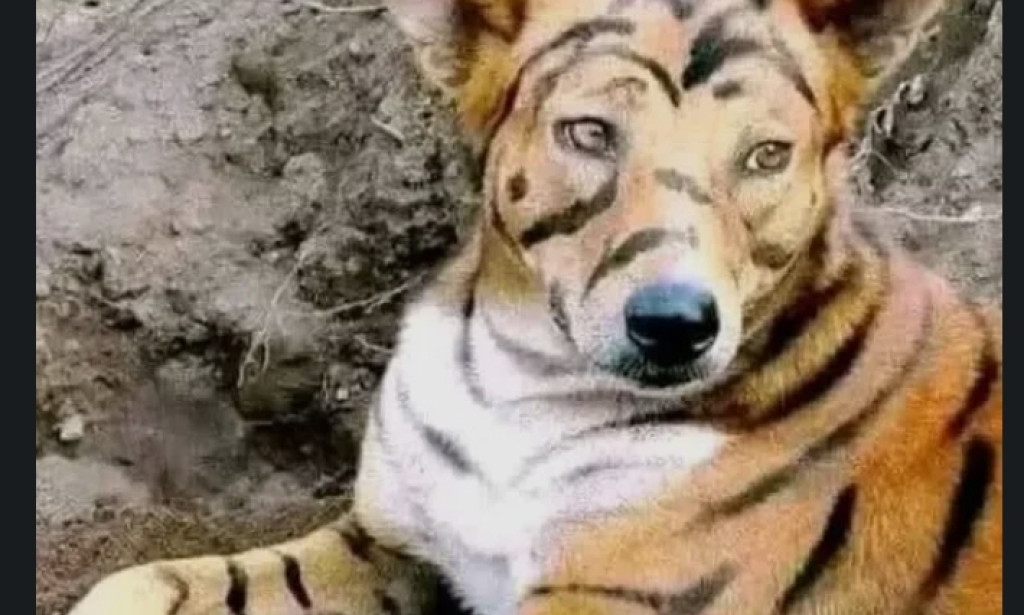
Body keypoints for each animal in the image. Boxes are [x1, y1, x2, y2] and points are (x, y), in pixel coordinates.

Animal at [66, 0, 1002, 614]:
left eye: (766, 156)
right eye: (590, 133)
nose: (675, 324)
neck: (522, 380)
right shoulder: (392, 543)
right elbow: (159, 578)